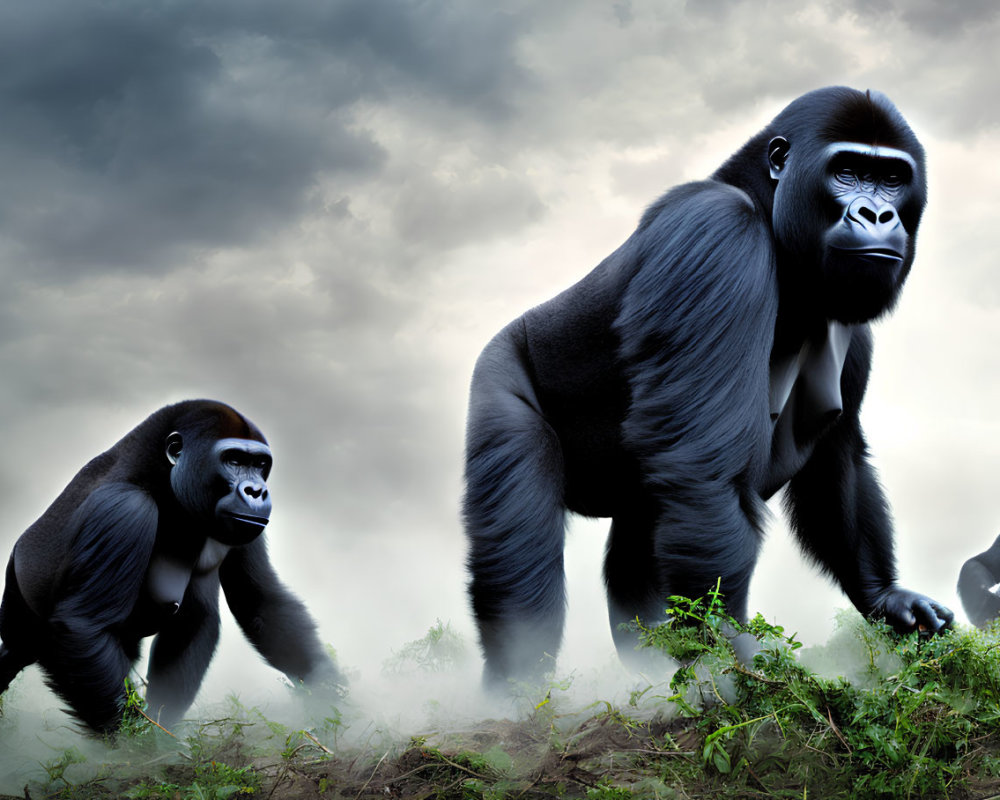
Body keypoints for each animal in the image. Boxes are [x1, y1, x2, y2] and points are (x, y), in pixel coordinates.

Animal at [0, 404, 340, 736]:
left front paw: (331, 699)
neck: (161, 478)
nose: (257, 491)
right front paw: (135, 748)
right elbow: (83, 627)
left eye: (259, 464)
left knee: (197, 612)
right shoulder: (124, 509)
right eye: (233, 460)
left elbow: (261, 603)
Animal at [464, 87, 956, 688]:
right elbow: (705, 469)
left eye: (890, 177)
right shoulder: (718, 232)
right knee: (522, 572)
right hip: (498, 372)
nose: (877, 213)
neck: (766, 207)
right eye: (847, 171)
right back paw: (516, 690)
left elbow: (837, 459)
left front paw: (884, 595)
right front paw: (732, 654)